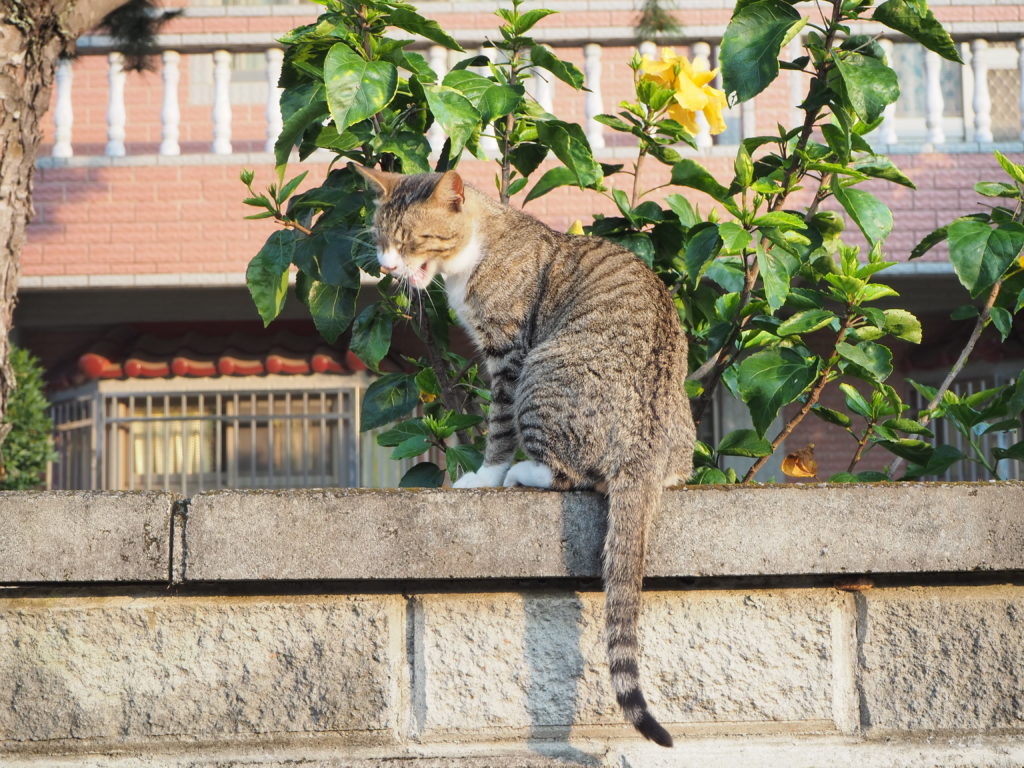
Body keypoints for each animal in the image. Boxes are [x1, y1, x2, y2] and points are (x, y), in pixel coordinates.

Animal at [354, 165, 696, 749]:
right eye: (381, 239)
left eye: (412, 240)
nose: (386, 266)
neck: (481, 244)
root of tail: (646, 448)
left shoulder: (508, 351)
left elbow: (497, 424)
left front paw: (485, 474)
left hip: (544, 370)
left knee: (572, 474)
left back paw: (522, 471)